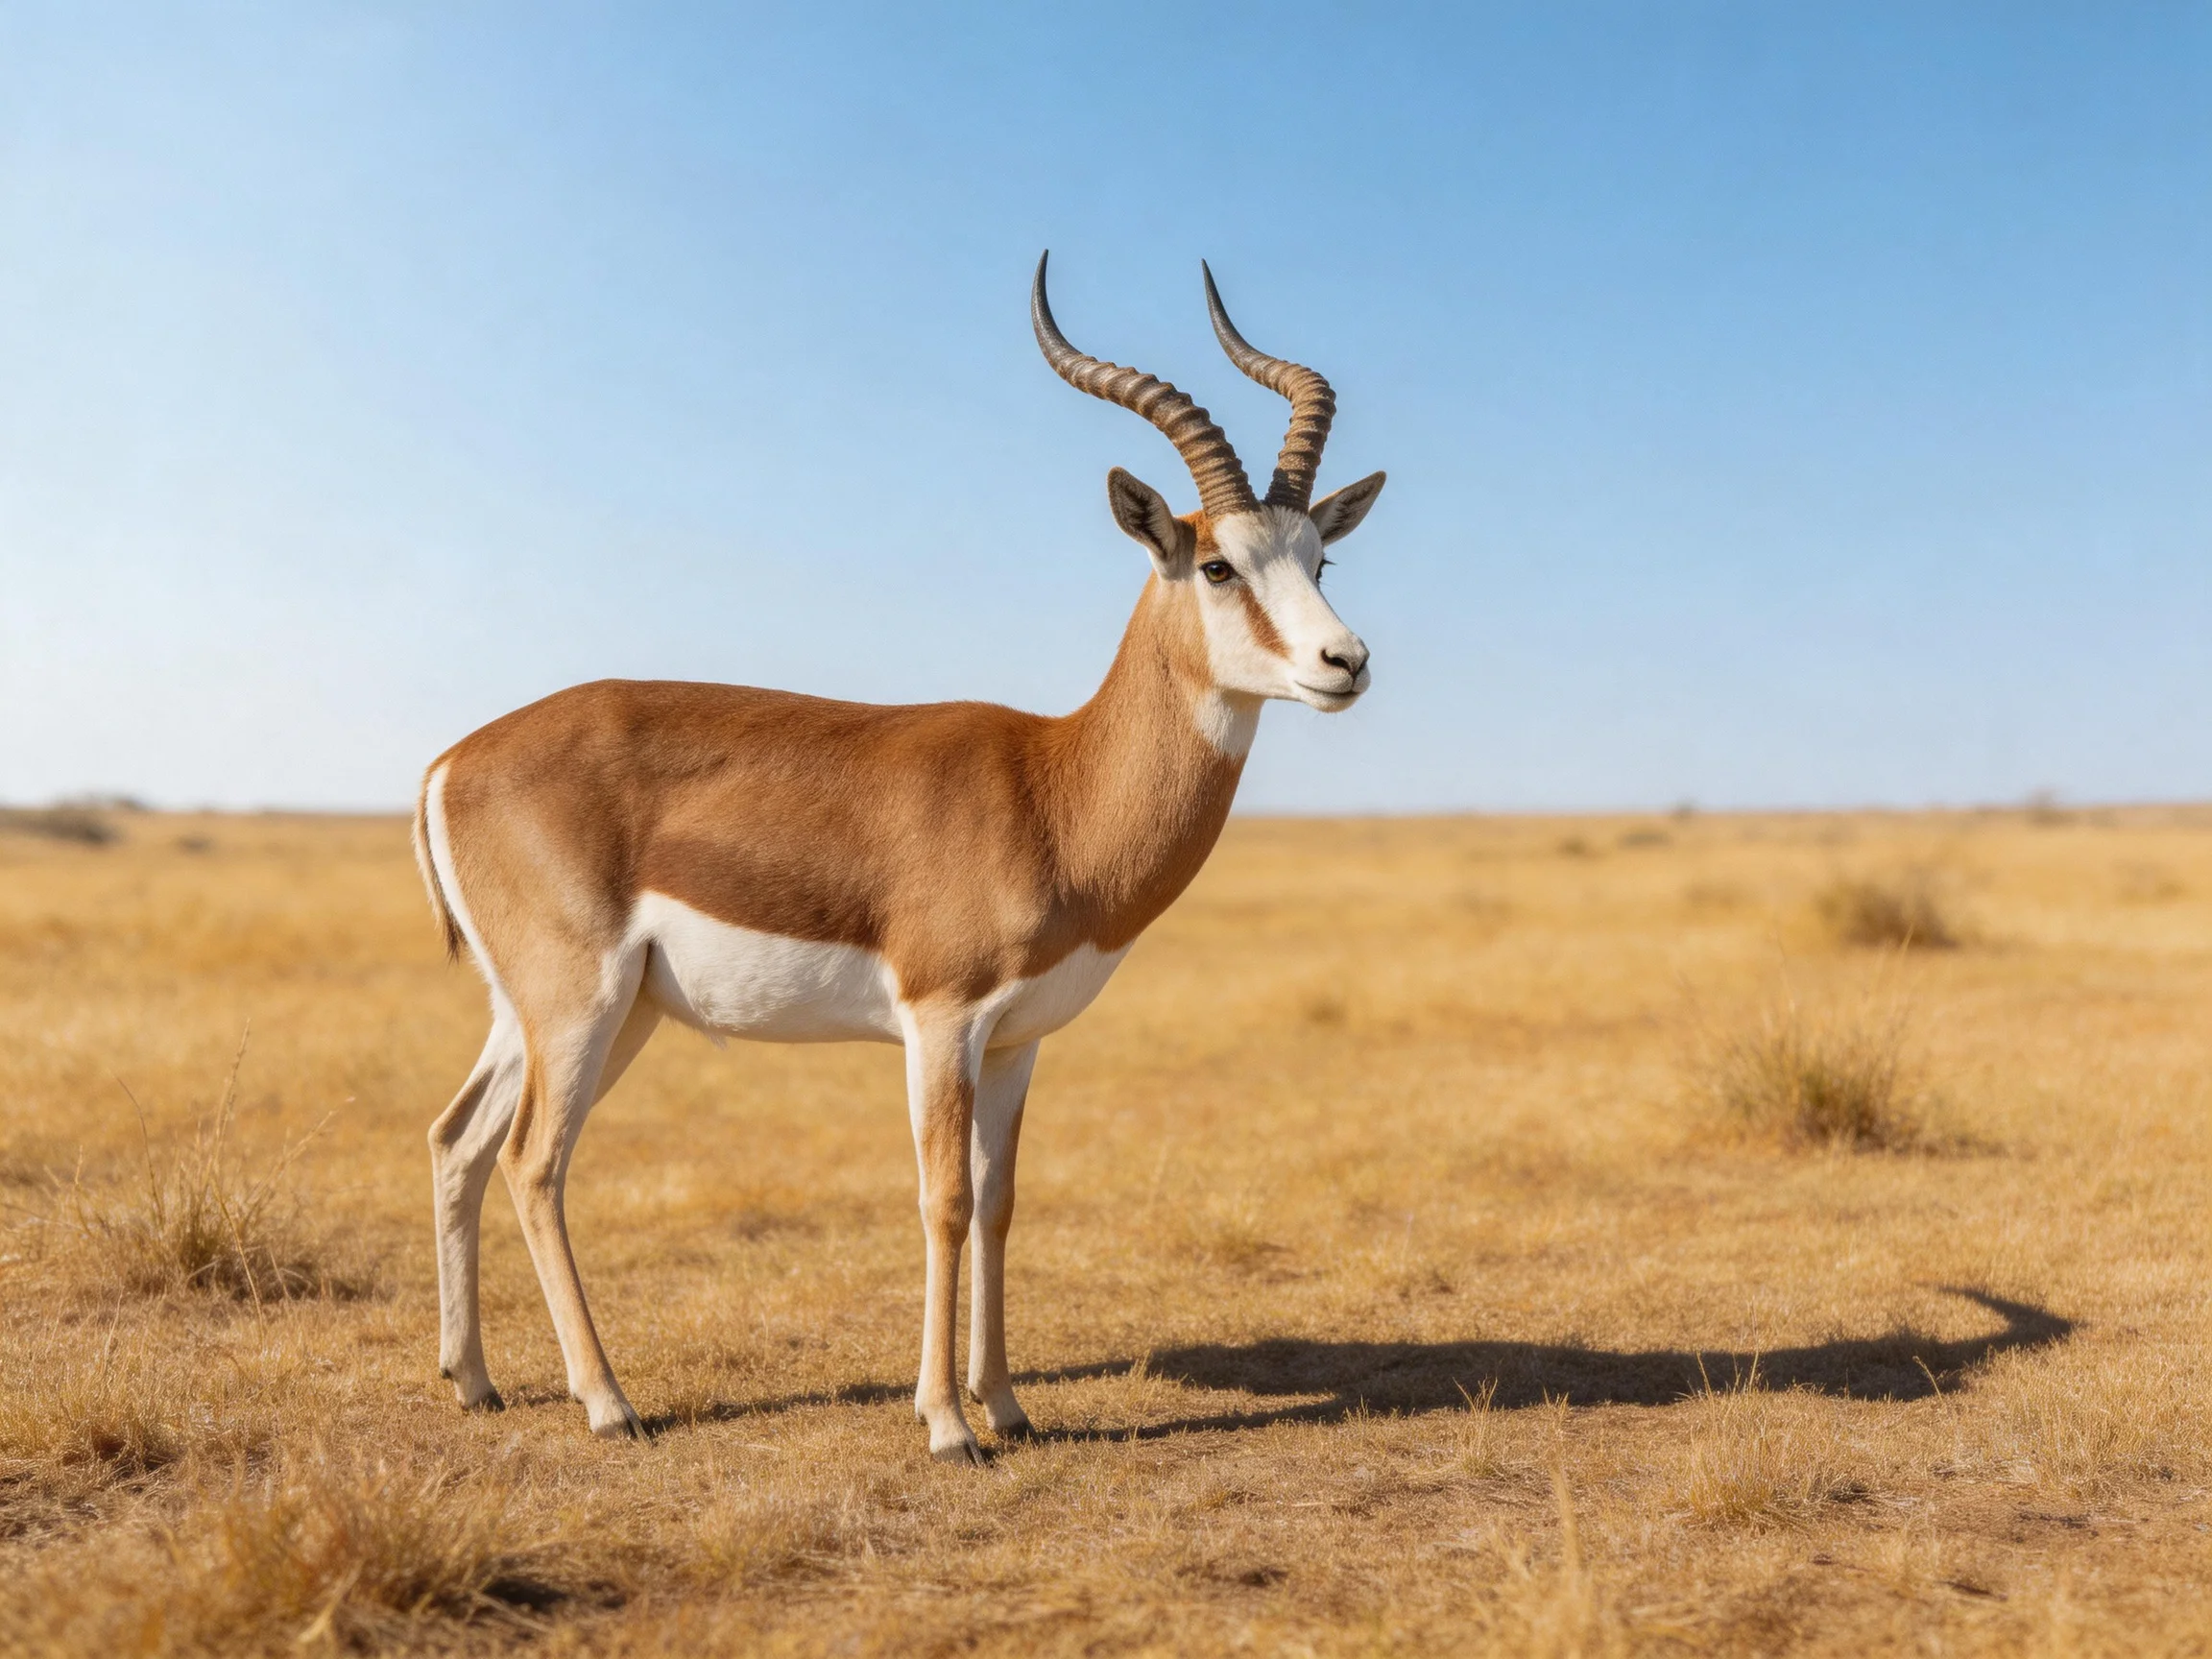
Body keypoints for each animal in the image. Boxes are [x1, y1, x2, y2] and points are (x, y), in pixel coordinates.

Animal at [412, 254, 1386, 1463]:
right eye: (1215, 563)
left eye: (1321, 555)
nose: (1344, 662)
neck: (1052, 789)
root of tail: (452, 759)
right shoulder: (938, 1022)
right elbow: (943, 1202)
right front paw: (946, 1424)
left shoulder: (1016, 1041)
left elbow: (1002, 1200)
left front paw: (1007, 1404)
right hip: (580, 1006)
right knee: (533, 1162)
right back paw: (608, 1403)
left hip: (562, 1011)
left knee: (456, 1140)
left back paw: (472, 1381)